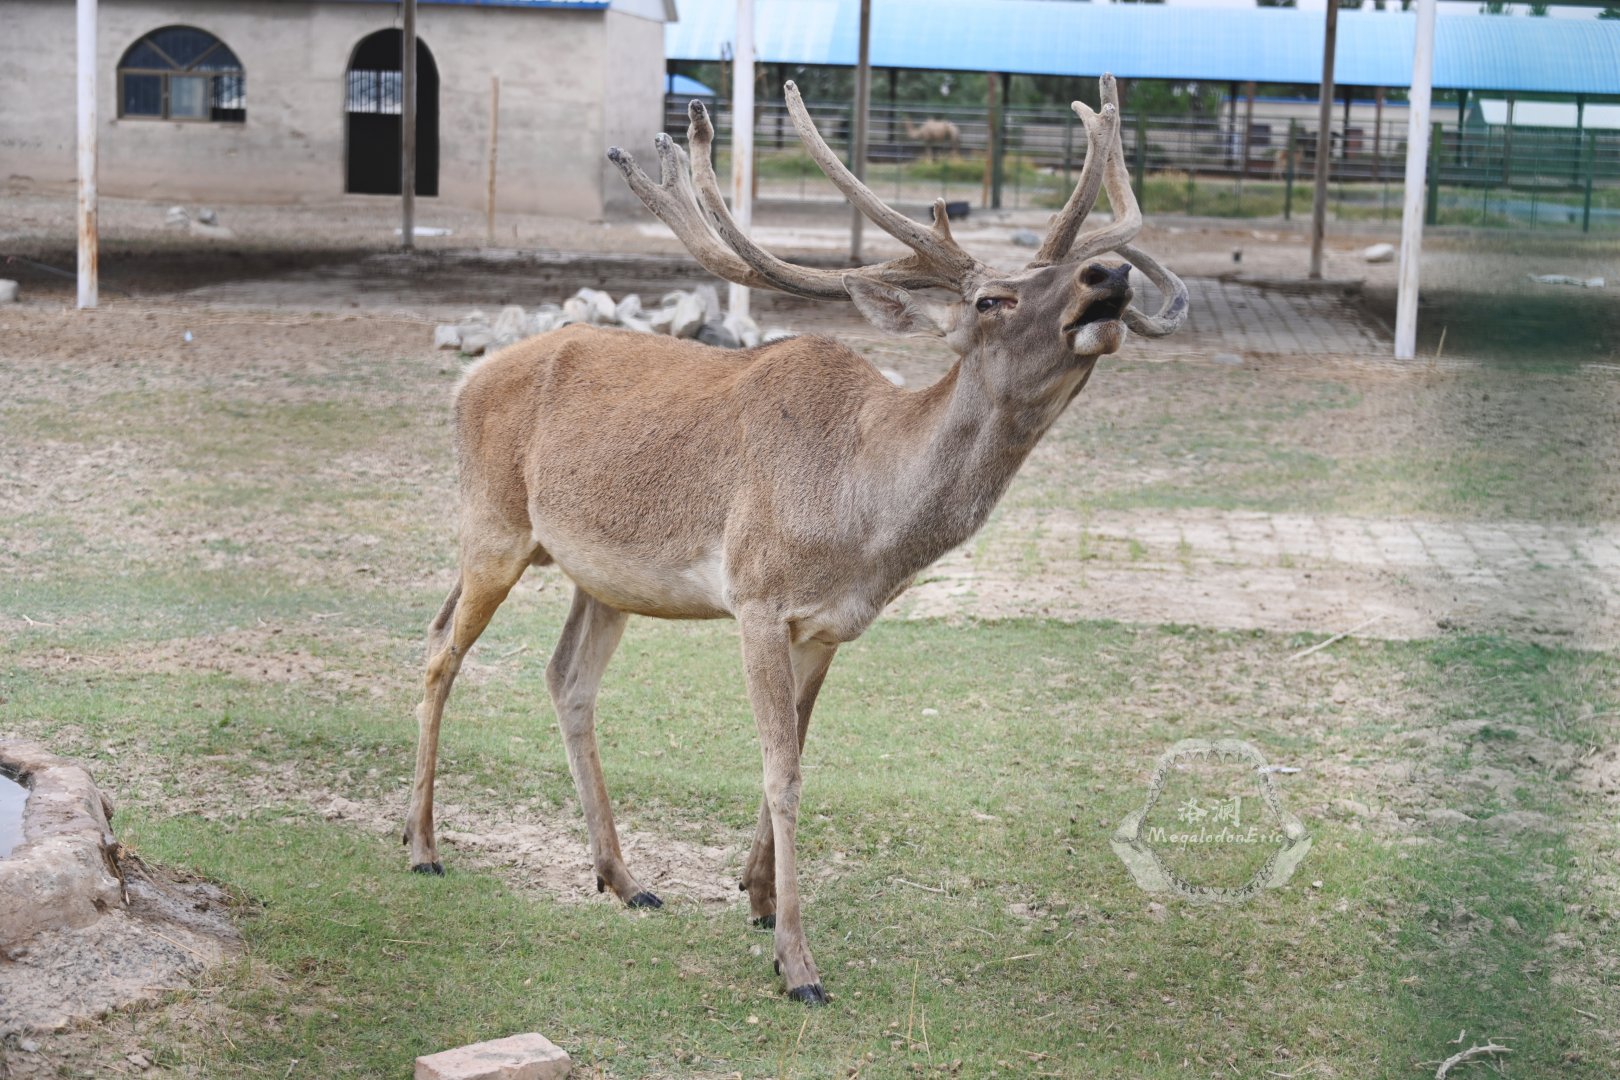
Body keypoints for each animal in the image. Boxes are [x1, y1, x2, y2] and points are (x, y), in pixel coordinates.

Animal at [403, 73, 1186, 1006]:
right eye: (991, 300)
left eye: (1062, 273)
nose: (1109, 273)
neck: (862, 524)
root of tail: (464, 384)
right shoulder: (756, 594)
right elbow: (783, 769)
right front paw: (798, 962)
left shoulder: (827, 627)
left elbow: (796, 751)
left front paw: (757, 894)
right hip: (493, 523)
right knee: (440, 647)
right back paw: (421, 846)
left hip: (598, 575)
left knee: (565, 679)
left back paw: (624, 878)